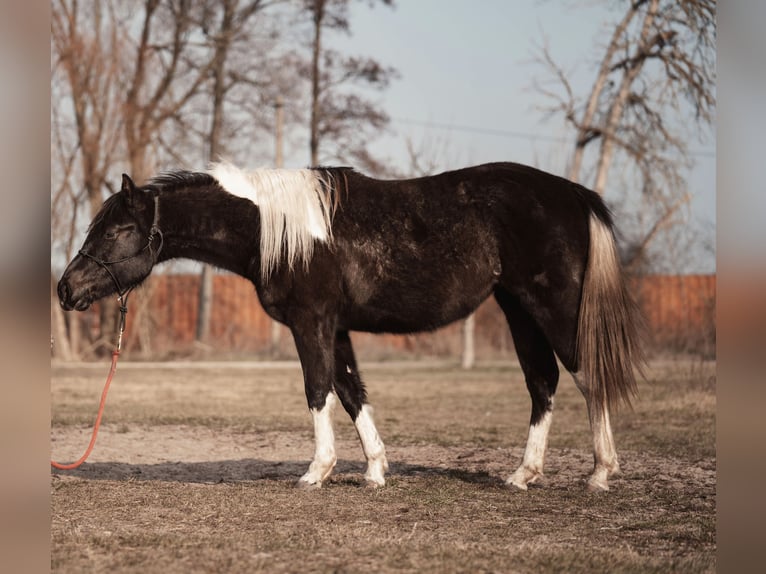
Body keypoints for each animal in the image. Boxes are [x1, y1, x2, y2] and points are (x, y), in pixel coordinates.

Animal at [58, 161, 640, 490]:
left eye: (119, 231)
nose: (66, 289)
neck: (275, 228)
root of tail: (573, 194)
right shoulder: (335, 327)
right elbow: (352, 389)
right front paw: (376, 471)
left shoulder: (311, 321)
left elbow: (318, 389)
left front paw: (317, 472)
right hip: (518, 309)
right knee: (543, 383)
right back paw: (523, 475)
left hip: (552, 308)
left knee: (588, 377)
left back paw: (600, 473)